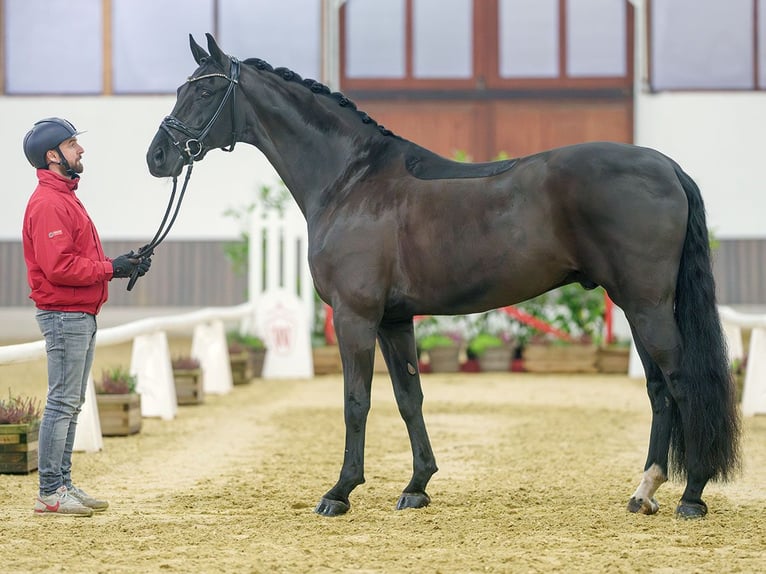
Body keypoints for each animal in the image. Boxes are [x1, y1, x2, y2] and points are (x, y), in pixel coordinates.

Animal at [147, 36, 740, 520]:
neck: (350, 180)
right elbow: (410, 396)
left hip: (646, 303)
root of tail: (667, 167)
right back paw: (645, 492)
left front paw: (340, 492)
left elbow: (356, 401)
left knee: (680, 383)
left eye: (205, 90)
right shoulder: (394, 319)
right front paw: (417, 486)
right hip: (638, 305)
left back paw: (691, 496)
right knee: (659, 390)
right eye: (180, 88)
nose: (157, 157)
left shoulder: (356, 317)